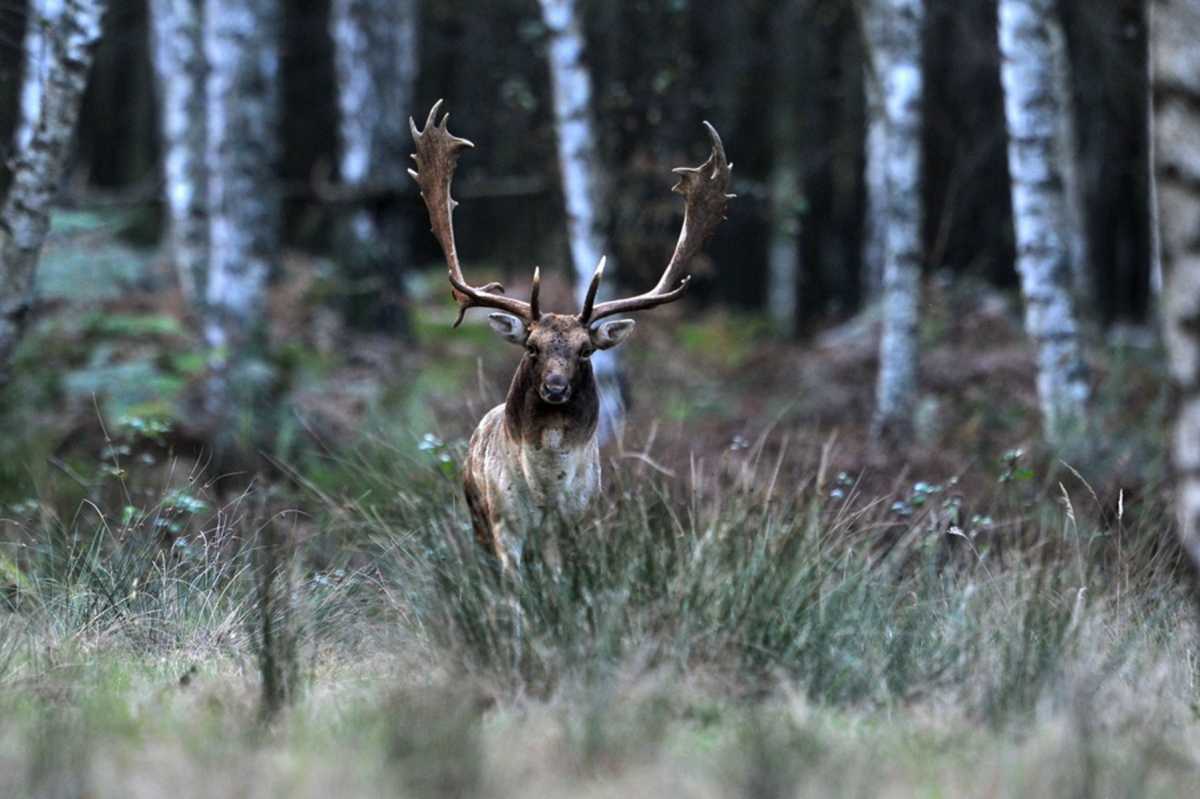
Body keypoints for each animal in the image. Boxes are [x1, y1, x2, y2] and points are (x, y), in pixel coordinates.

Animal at [410, 101, 729, 573]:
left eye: (585, 351)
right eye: (532, 347)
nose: (555, 388)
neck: (546, 492)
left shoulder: (575, 522)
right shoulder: (506, 524)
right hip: (477, 518)